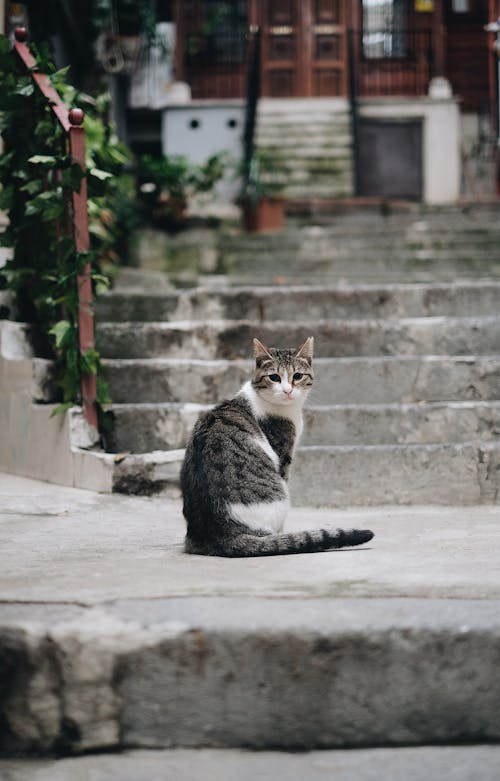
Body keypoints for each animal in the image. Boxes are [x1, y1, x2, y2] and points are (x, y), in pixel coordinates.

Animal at [182, 336, 374, 556]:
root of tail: (219, 533)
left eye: (297, 376)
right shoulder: (284, 454)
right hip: (280, 495)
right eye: (274, 377)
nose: (287, 390)